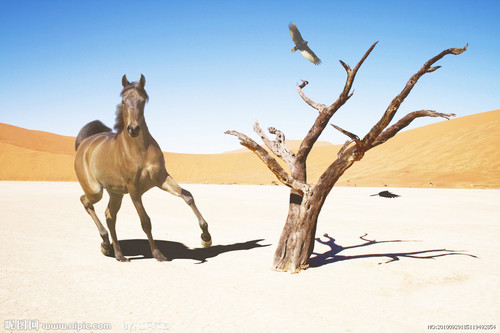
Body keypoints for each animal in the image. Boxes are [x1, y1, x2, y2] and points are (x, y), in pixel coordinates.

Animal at [75, 74, 212, 260]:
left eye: (142, 100)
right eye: (124, 100)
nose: (133, 129)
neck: (140, 150)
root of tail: (84, 144)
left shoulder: (162, 179)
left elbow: (188, 196)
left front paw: (206, 237)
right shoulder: (134, 190)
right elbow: (145, 221)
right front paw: (158, 253)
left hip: (116, 193)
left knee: (109, 216)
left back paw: (117, 253)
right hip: (96, 190)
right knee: (86, 202)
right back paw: (105, 242)